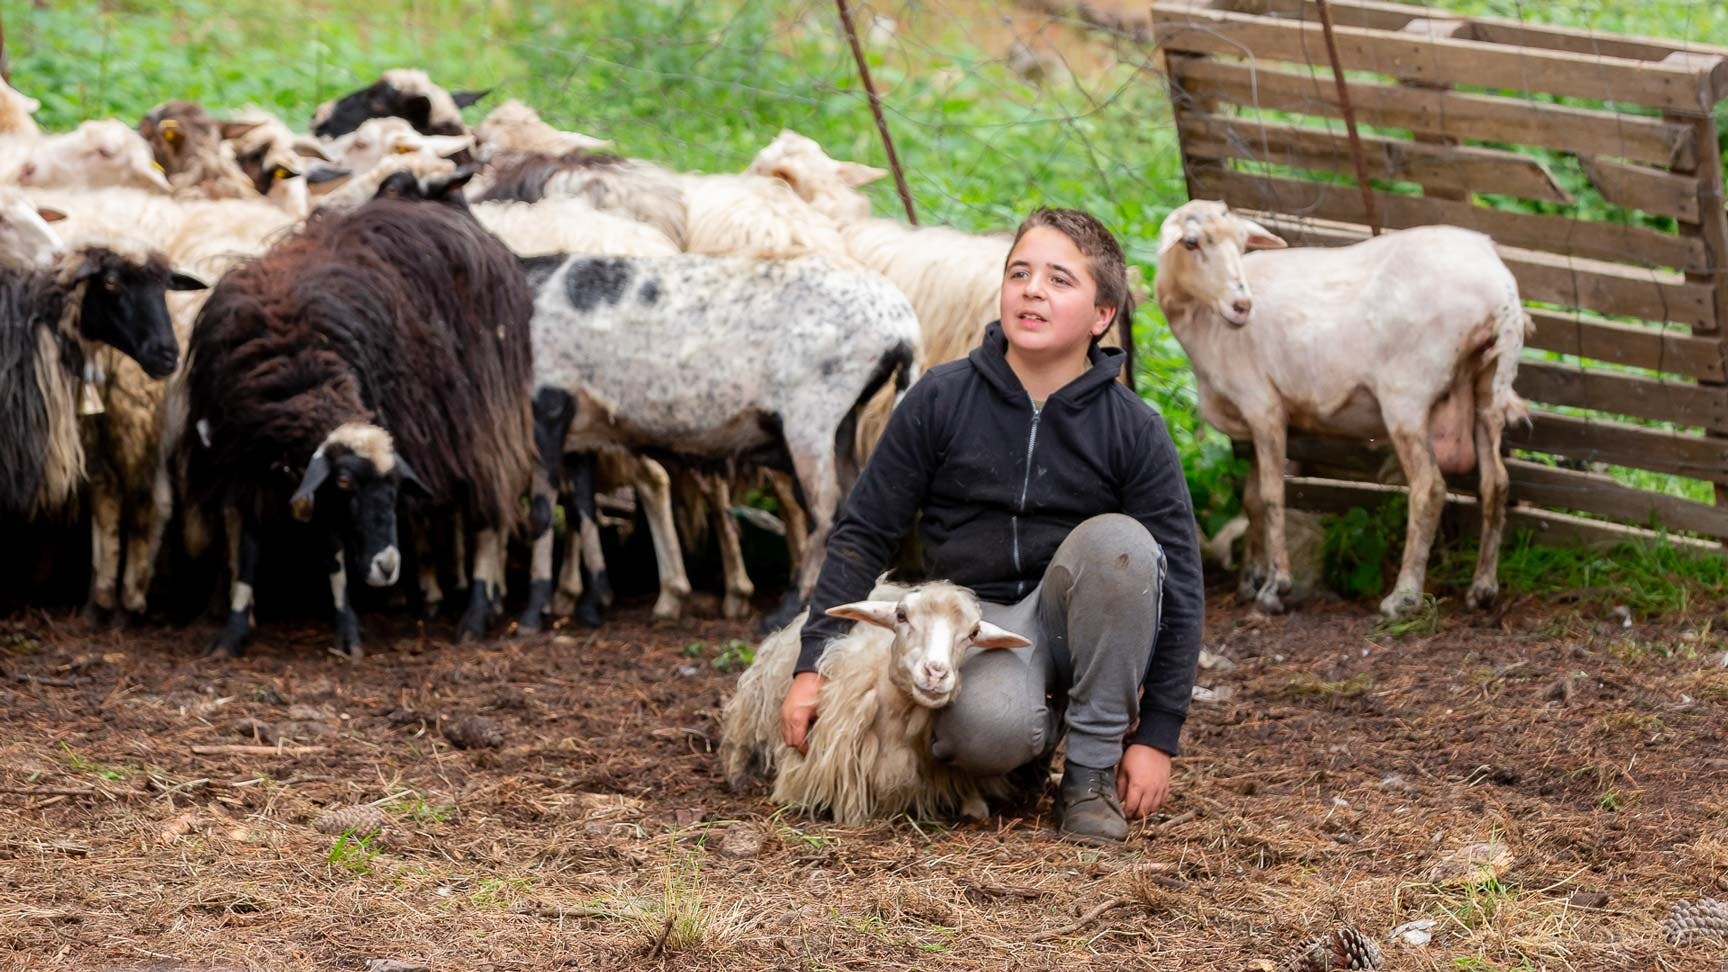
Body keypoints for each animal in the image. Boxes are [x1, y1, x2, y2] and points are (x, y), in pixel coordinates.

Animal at [1154, 200, 1534, 615]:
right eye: (1191, 243)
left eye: (1240, 244)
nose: (1242, 306)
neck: (1204, 326)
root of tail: (1499, 289)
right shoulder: (1258, 418)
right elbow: (1252, 500)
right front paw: (1250, 580)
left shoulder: (1262, 406)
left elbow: (1271, 496)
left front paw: (1275, 587)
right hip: (1486, 388)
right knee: (1495, 484)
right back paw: (1483, 588)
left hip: (1406, 393)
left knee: (1429, 488)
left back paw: (1403, 596)